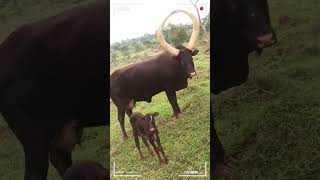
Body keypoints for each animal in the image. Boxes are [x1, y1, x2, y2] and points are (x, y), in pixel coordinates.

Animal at [110, 9, 200, 139]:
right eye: (182, 61)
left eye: (191, 58)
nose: (192, 73)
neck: (174, 65)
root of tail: (111, 77)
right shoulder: (168, 88)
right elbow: (173, 102)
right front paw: (177, 114)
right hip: (120, 105)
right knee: (120, 118)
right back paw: (125, 137)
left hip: (128, 103)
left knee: (129, 115)